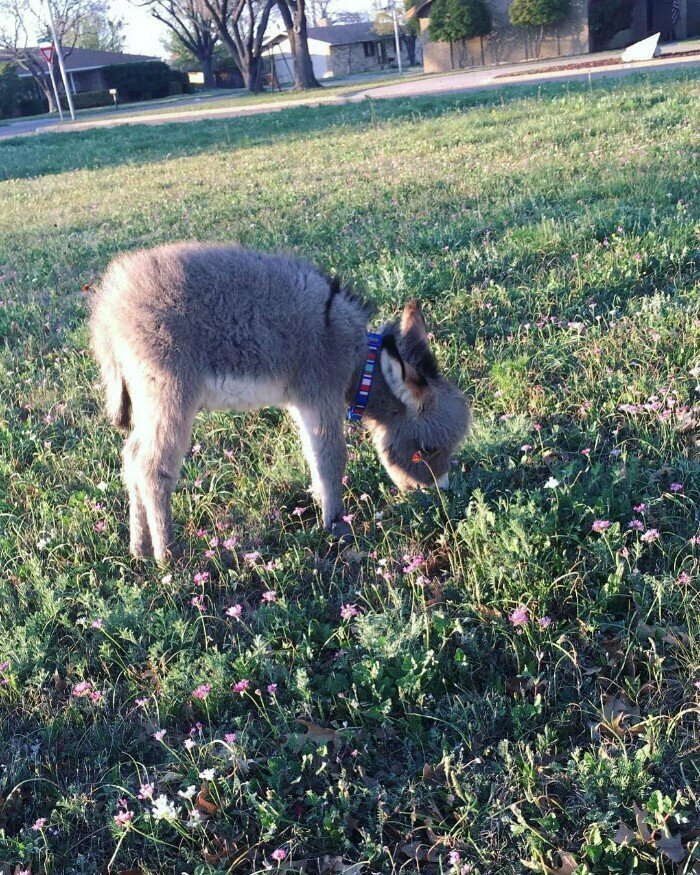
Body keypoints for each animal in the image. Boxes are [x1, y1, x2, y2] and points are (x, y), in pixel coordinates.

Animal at [89, 243, 470, 564]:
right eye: (428, 450)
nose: (440, 497)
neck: (358, 361)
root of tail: (109, 307)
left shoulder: (303, 404)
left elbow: (314, 456)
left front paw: (320, 504)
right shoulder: (322, 394)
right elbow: (332, 459)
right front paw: (337, 528)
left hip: (148, 399)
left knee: (131, 458)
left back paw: (139, 549)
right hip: (171, 394)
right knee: (152, 468)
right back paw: (167, 557)